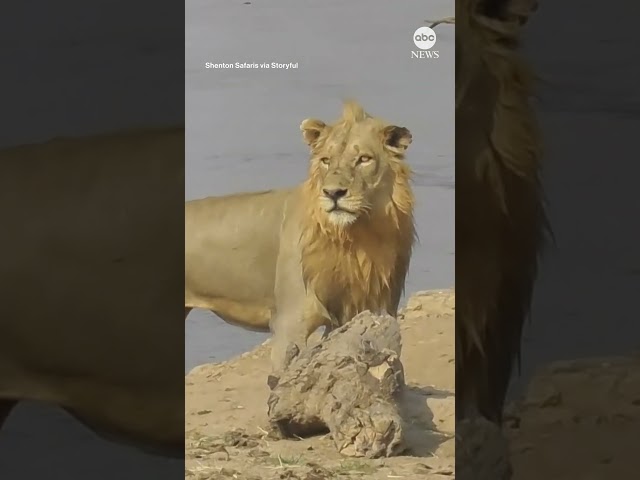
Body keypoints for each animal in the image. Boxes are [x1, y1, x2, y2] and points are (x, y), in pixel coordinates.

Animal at [185, 102, 416, 372]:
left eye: (364, 159)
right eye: (326, 160)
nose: (333, 193)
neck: (357, 236)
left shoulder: (369, 311)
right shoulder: (289, 323)